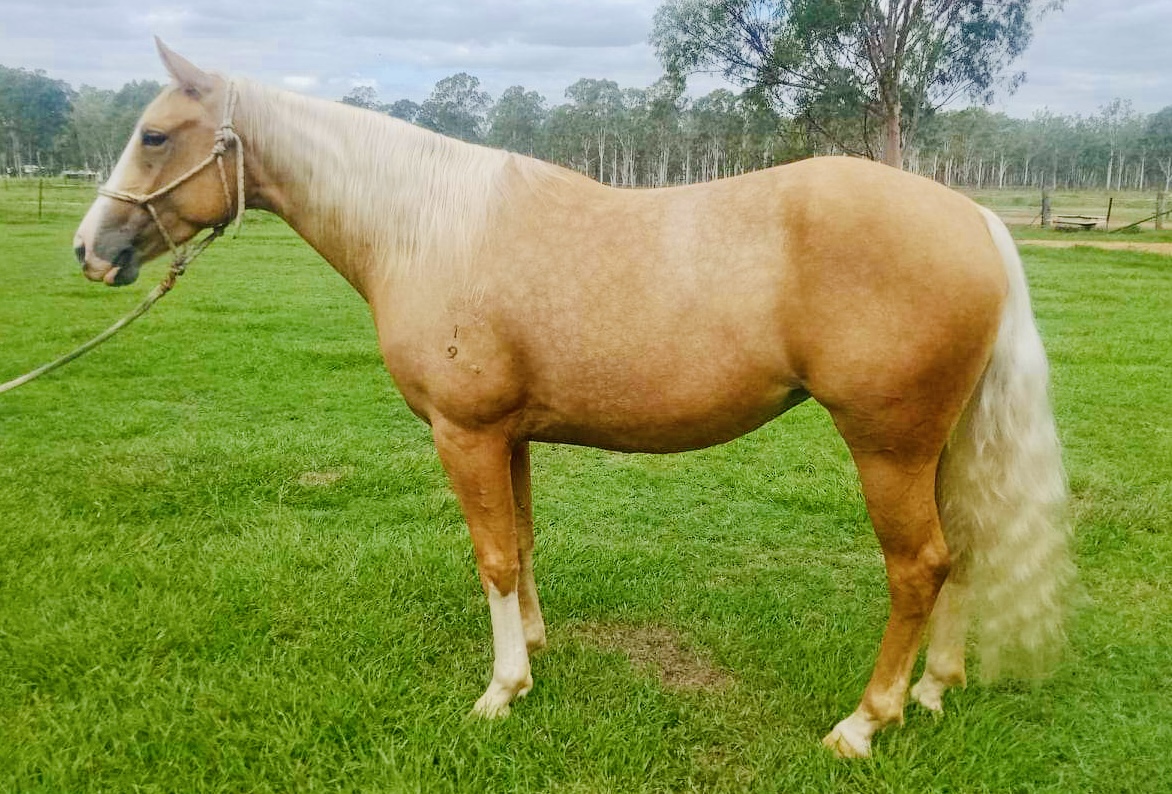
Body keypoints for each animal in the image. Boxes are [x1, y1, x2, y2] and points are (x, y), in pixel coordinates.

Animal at [73, 41, 1074, 758]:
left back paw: (866, 723)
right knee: (959, 553)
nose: (90, 249)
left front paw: (500, 691)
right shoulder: (509, 436)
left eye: (155, 135)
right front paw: (536, 651)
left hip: (887, 446)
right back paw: (933, 690)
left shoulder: (464, 434)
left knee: (918, 567)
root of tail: (971, 217)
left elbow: (491, 558)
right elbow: (521, 542)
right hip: (937, 445)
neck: (426, 228)